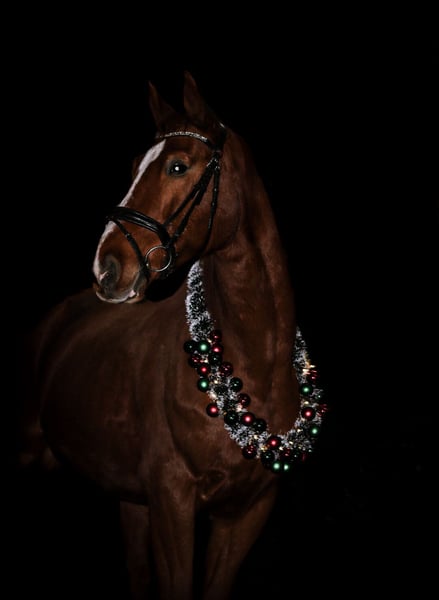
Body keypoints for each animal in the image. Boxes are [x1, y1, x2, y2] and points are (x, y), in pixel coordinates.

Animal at [18, 71, 326, 600]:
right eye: (134, 167)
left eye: (178, 166)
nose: (106, 267)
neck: (252, 364)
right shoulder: (172, 502)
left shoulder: (244, 513)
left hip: (130, 500)